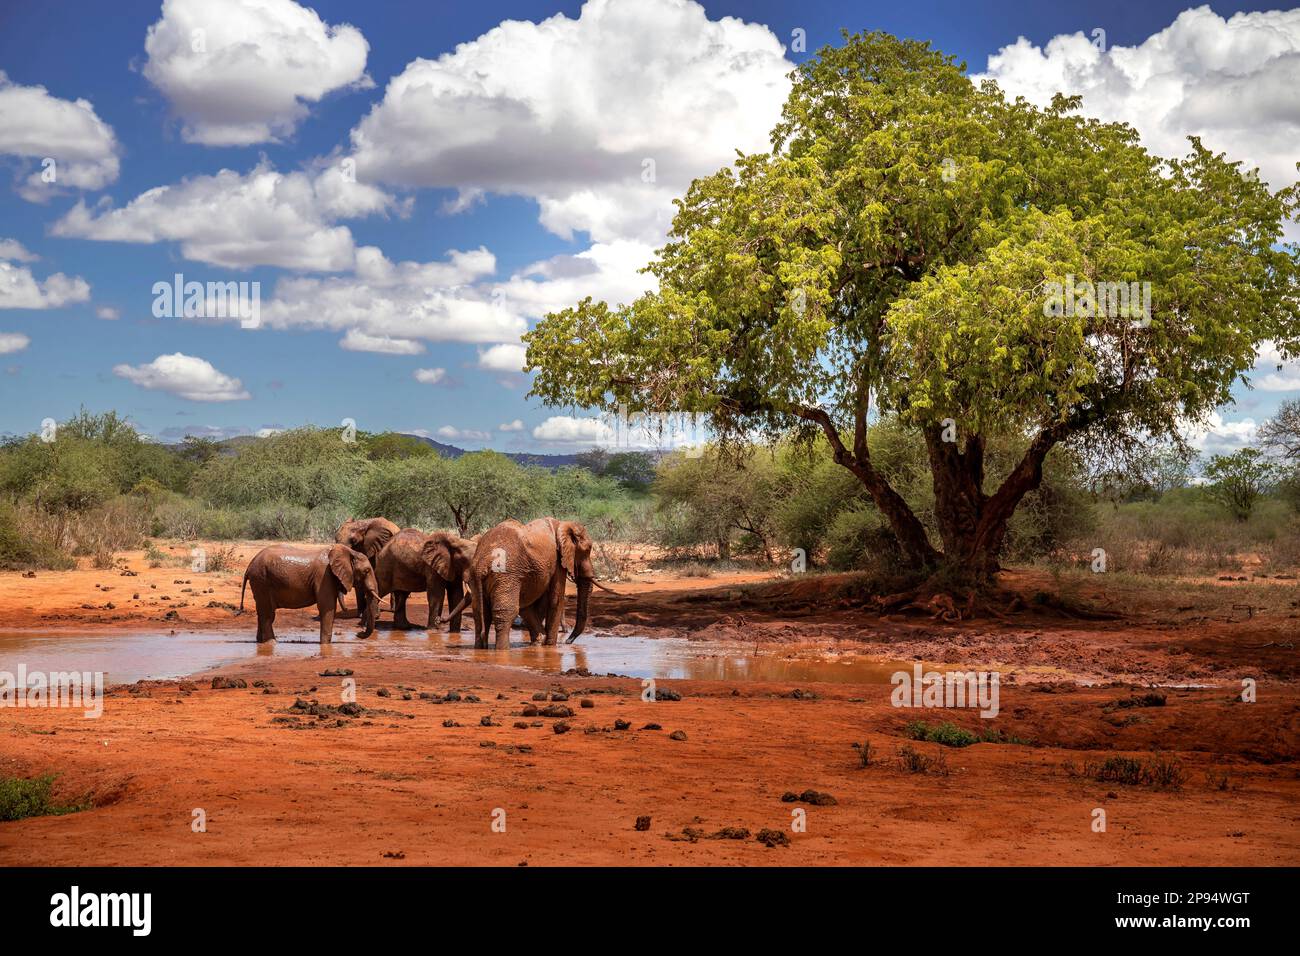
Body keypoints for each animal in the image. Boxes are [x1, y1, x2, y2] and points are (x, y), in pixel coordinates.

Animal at [240, 546, 379, 642]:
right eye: (366, 571)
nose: (358, 633)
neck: (349, 551)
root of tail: (249, 566)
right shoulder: (324, 577)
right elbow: (327, 607)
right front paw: (325, 645)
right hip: (262, 580)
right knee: (268, 614)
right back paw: (271, 643)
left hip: (260, 581)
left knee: (263, 612)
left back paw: (260, 642)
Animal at [462, 515, 613, 650]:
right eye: (587, 550)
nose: (568, 642)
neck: (563, 525)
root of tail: (482, 564)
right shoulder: (557, 561)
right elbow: (555, 599)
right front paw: (550, 646)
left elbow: (527, 605)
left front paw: (538, 642)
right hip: (505, 575)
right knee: (505, 613)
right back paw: (502, 651)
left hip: (475, 577)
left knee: (480, 613)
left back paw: (480, 649)